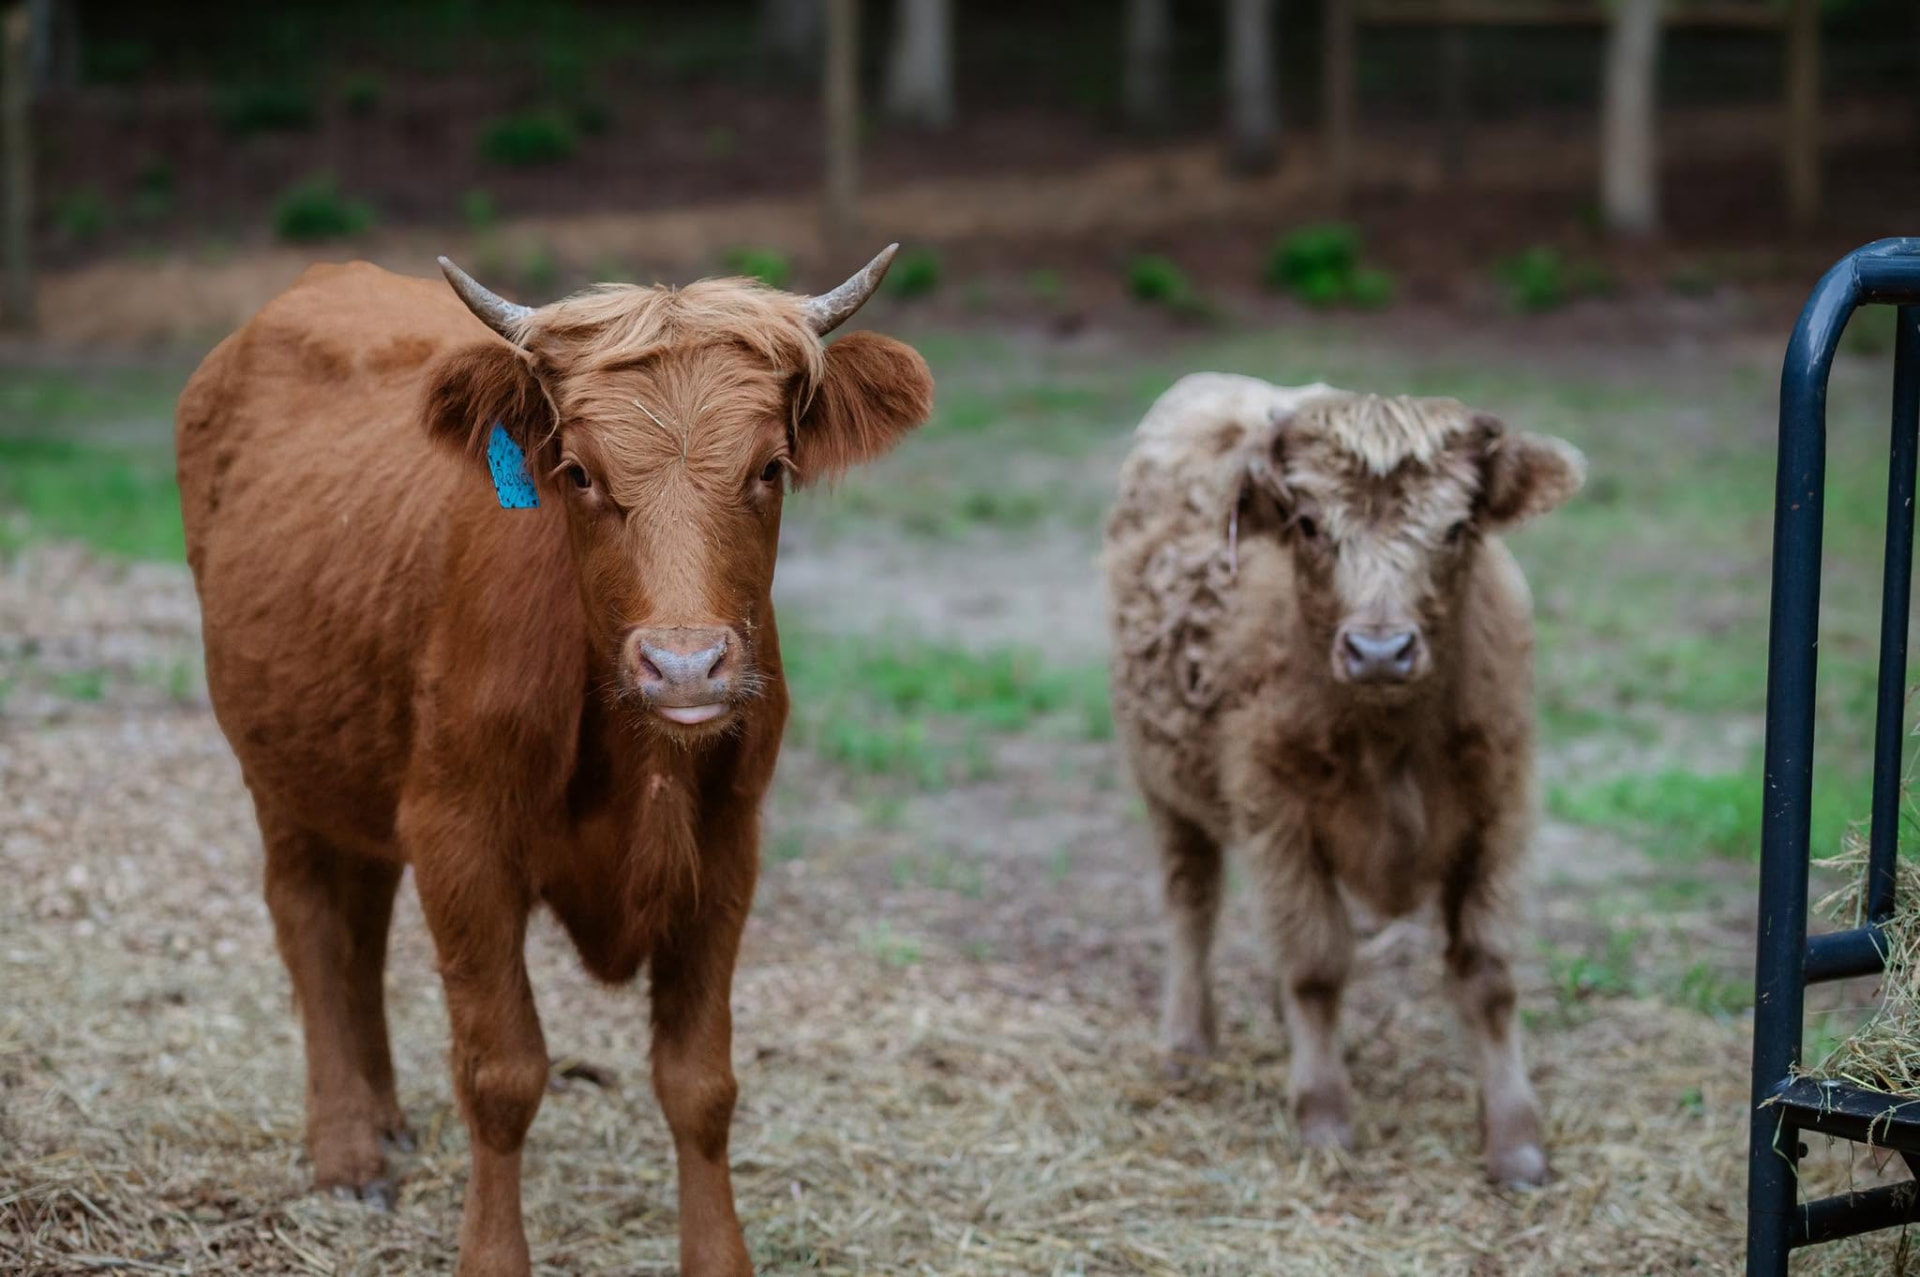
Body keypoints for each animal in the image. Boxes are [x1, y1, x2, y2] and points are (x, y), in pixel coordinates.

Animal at [175, 247, 933, 1276]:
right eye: (577, 471)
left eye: (772, 467)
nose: (685, 664)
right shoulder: (459, 835)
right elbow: (502, 1072)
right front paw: (492, 1253)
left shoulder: (728, 843)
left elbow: (701, 1081)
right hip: (276, 763)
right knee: (311, 920)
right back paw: (347, 1149)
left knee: (361, 919)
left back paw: (384, 1117)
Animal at [1102, 374, 1584, 1187]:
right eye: (1306, 522)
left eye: (1458, 525)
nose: (1380, 650)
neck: (1393, 744)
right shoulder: (1278, 817)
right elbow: (1318, 964)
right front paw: (1324, 1116)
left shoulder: (1500, 811)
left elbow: (1486, 973)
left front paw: (1515, 1140)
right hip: (1164, 784)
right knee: (1191, 904)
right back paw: (1187, 1046)